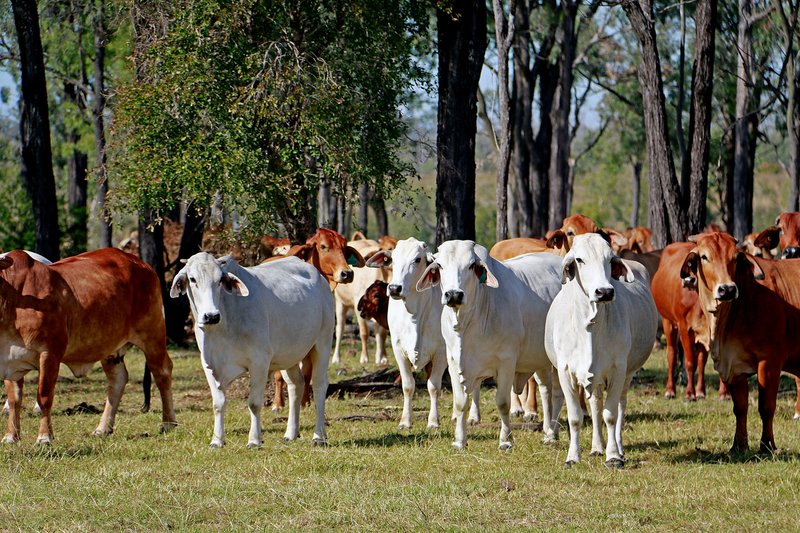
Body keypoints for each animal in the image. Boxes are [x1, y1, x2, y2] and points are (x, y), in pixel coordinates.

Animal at [0, 249, 176, 444]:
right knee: (118, 380)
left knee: (162, 372)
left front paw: (44, 437)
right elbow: (14, 399)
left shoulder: (49, 353)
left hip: (152, 335)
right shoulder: (9, 359)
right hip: (111, 347)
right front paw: (10, 436)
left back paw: (168, 423)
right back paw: (103, 428)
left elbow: (44, 396)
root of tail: (141, 264)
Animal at [172, 251, 334, 446]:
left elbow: (254, 403)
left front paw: (254, 440)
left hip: (323, 343)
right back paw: (291, 433)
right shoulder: (209, 365)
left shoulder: (259, 362)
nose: (211, 316)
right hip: (289, 356)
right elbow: (218, 404)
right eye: (193, 279)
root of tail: (321, 279)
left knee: (319, 385)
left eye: (219, 280)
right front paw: (217, 441)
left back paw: (319, 436)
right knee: (296, 384)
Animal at [416, 241, 564, 448]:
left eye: (471, 265)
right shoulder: (453, 362)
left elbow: (502, 402)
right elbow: (460, 402)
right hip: (539, 359)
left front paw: (506, 440)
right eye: (440, 265)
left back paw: (552, 433)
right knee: (546, 390)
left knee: (557, 393)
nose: (453, 295)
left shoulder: (506, 362)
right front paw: (459, 441)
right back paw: (549, 431)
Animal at [544, 235, 656, 468]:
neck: (590, 325)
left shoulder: (618, 369)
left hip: (627, 374)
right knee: (595, 405)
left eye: (610, 259)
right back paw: (596, 447)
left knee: (620, 406)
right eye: (579, 259)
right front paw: (572, 457)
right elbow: (576, 417)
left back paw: (619, 448)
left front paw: (612, 456)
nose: (604, 292)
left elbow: (611, 415)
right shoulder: (565, 372)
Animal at [680, 231, 800, 450]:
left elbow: (766, 407)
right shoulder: (733, 366)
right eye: (704, 257)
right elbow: (740, 408)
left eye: (735, 258)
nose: (727, 289)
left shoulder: (769, 362)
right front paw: (739, 445)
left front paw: (767, 445)